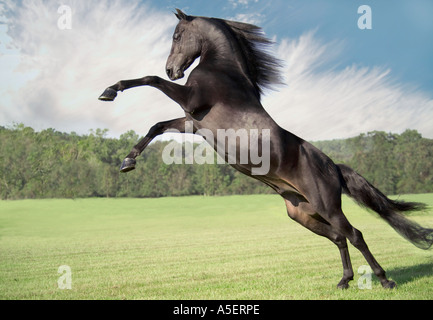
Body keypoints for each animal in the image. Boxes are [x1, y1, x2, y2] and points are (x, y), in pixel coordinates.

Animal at [98, 10, 432, 290]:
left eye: (177, 35)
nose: (171, 70)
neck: (224, 70)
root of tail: (334, 167)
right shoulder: (192, 122)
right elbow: (156, 126)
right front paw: (127, 161)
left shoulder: (191, 100)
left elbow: (149, 79)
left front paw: (109, 91)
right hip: (302, 214)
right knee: (340, 238)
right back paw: (344, 281)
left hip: (328, 207)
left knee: (356, 235)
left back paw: (384, 280)